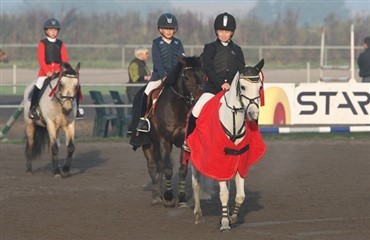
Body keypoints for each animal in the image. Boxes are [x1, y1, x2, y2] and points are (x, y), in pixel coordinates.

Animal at [131, 55, 205, 206]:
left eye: (203, 75)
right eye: (186, 76)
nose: (199, 97)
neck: (177, 108)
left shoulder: (184, 143)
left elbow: (182, 170)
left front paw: (181, 198)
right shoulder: (164, 141)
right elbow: (168, 169)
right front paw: (169, 197)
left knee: (159, 165)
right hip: (149, 144)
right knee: (153, 166)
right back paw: (156, 196)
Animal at [188, 58, 266, 231]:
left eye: (260, 87)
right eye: (243, 87)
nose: (253, 114)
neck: (233, 121)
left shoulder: (240, 160)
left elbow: (240, 195)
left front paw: (232, 217)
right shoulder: (219, 161)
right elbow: (223, 194)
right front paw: (224, 223)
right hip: (194, 158)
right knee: (195, 184)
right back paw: (198, 215)